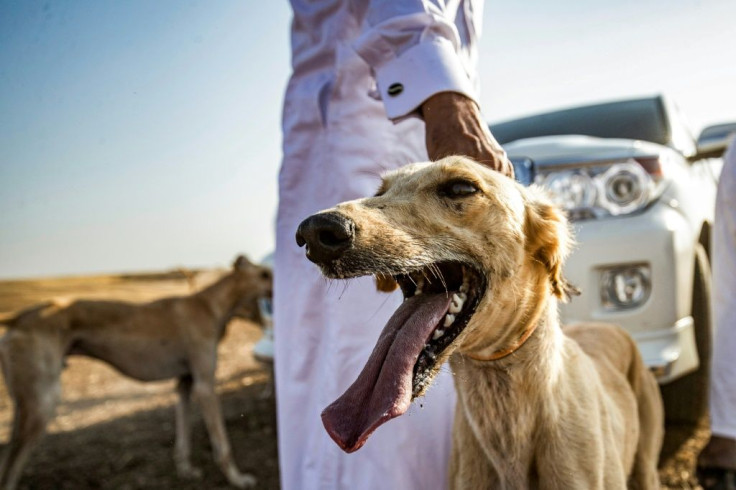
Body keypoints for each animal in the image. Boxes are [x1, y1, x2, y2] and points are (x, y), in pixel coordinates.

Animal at [0, 255, 270, 488]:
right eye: (265, 274)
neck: (209, 305)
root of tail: (17, 318)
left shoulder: (185, 383)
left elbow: (183, 437)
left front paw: (185, 470)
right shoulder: (205, 385)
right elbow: (222, 444)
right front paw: (237, 479)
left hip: (25, 404)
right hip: (42, 404)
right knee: (11, 468)